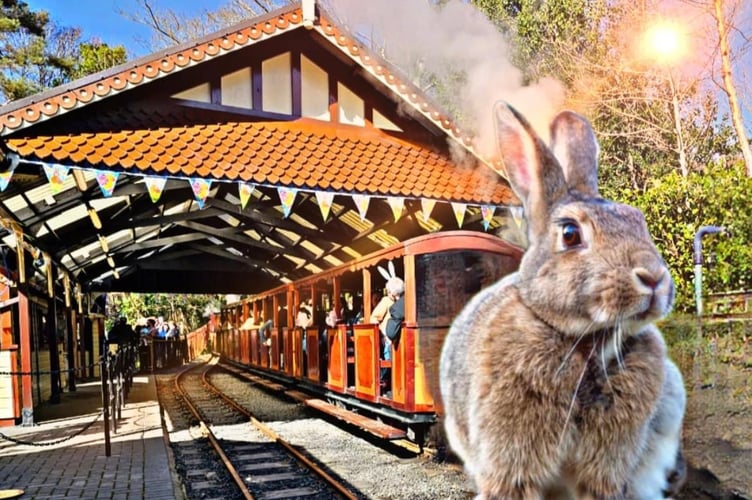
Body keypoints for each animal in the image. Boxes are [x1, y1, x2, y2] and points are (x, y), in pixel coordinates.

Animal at [438, 102, 684, 500]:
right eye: (570, 233)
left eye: (639, 221)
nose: (653, 278)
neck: (587, 342)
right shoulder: (511, 461)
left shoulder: (607, 468)